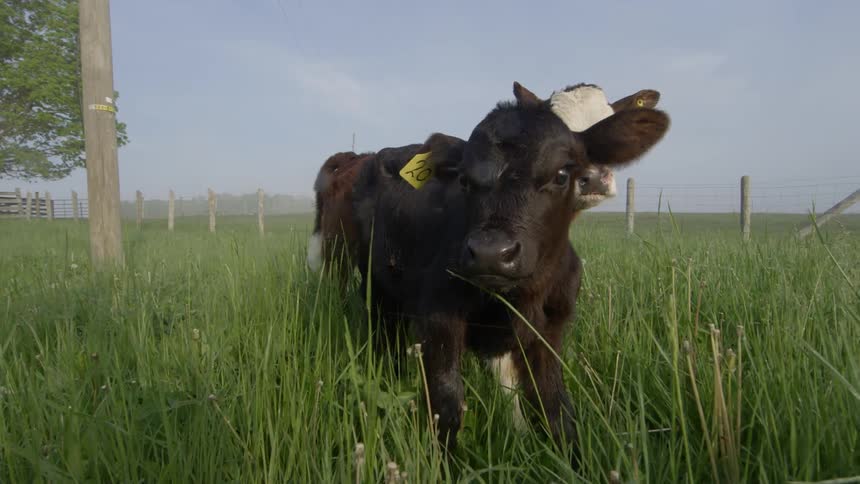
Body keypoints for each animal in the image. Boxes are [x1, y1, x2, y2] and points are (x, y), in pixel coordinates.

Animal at [349, 81, 670, 455]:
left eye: (562, 173)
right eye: (463, 180)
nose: (491, 253)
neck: (523, 293)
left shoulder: (550, 328)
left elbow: (553, 405)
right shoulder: (439, 318)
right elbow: (447, 405)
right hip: (375, 289)